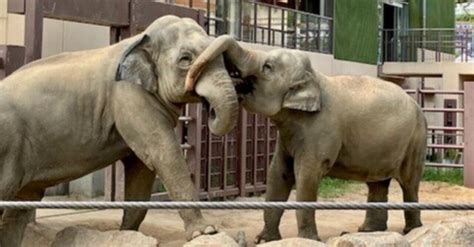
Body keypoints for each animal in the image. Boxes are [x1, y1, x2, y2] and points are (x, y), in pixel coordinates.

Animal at [0, 16, 239, 246]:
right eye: (185, 59)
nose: (209, 109)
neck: (139, 39)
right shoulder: (129, 96)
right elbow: (164, 155)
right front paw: (205, 231)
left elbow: (142, 169)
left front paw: (127, 234)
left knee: (18, 207)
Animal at [187, 35, 428, 242]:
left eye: (267, 67)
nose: (195, 91)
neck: (315, 77)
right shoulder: (288, 135)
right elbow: (278, 174)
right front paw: (264, 239)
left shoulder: (320, 129)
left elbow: (306, 176)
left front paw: (308, 239)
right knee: (377, 183)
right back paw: (369, 231)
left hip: (416, 140)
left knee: (409, 182)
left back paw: (411, 230)